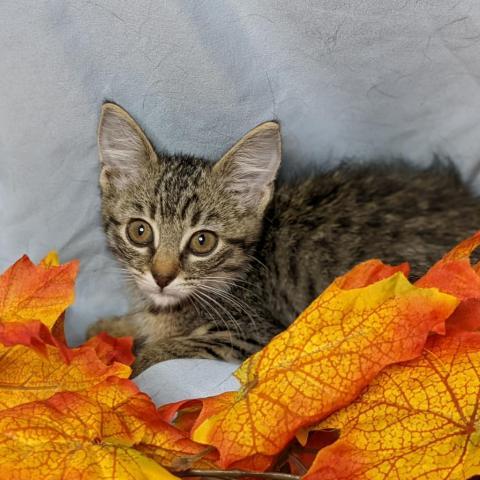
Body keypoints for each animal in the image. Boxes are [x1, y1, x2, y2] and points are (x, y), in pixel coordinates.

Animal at [88, 104, 480, 376]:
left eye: (202, 242)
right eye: (140, 232)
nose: (162, 277)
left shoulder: (254, 336)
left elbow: (163, 351)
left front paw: (128, 366)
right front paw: (107, 328)